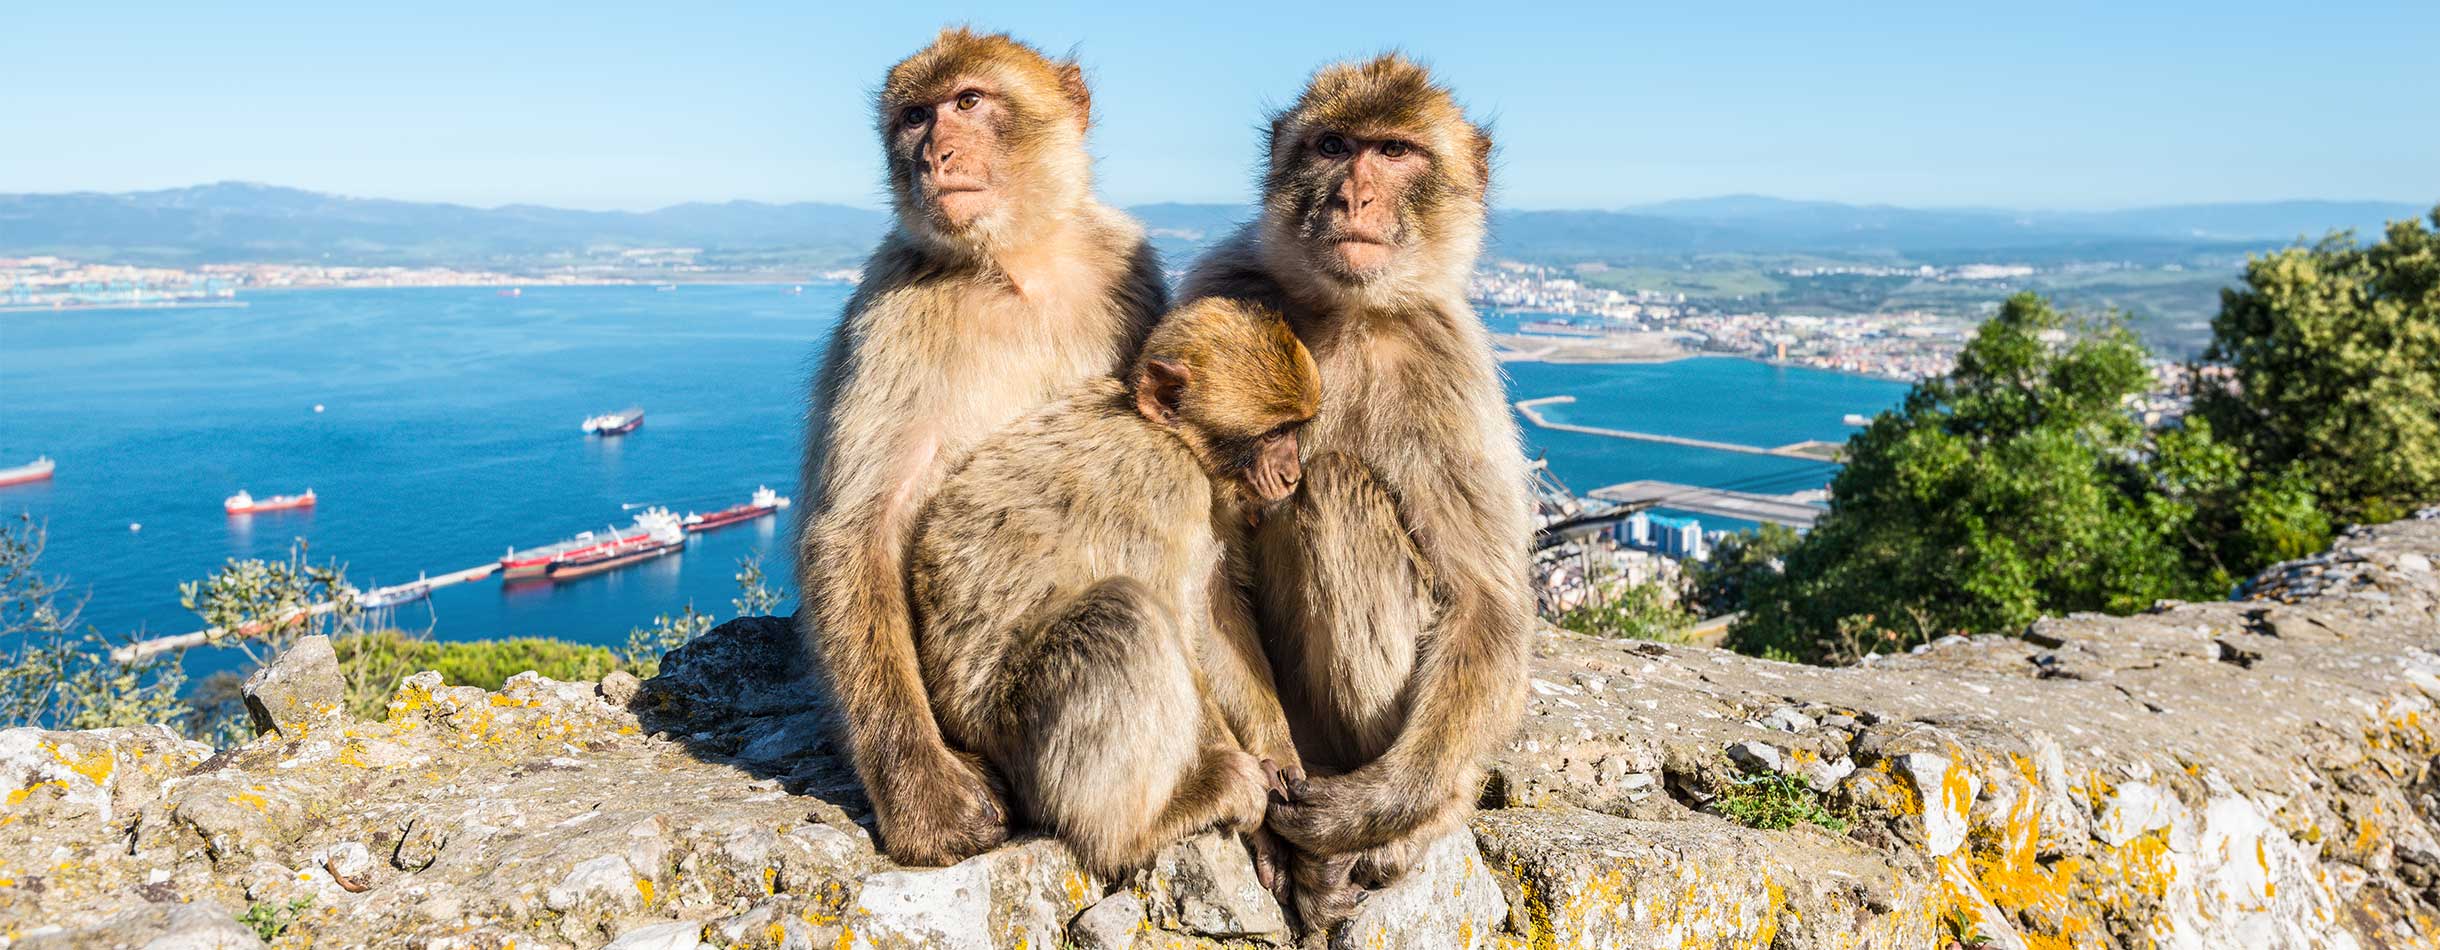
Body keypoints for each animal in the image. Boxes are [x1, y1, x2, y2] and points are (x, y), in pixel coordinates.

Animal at [797, 28, 1167, 868]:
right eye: (914, 117)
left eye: (967, 102)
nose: (933, 153)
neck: (1016, 268)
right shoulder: (889, 315)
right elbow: (857, 530)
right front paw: (925, 796)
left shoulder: (1131, 268)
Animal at [906, 297, 1320, 877]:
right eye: (1270, 434)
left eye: (1294, 429)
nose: (1290, 475)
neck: (1175, 440)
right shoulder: (1167, 483)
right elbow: (1178, 623)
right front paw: (1252, 805)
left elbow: (1216, 618)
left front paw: (1278, 755)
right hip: (1013, 725)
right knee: (1123, 614)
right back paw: (1140, 829)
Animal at [1174, 54, 1533, 931]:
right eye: (1335, 145)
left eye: (1396, 151)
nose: (1353, 196)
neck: (1347, 312)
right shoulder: (1217, 287)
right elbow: (1205, 583)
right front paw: (1265, 790)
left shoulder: (1450, 362)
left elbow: (1486, 600)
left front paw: (1377, 807)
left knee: (1334, 487)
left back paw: (1384, 833)